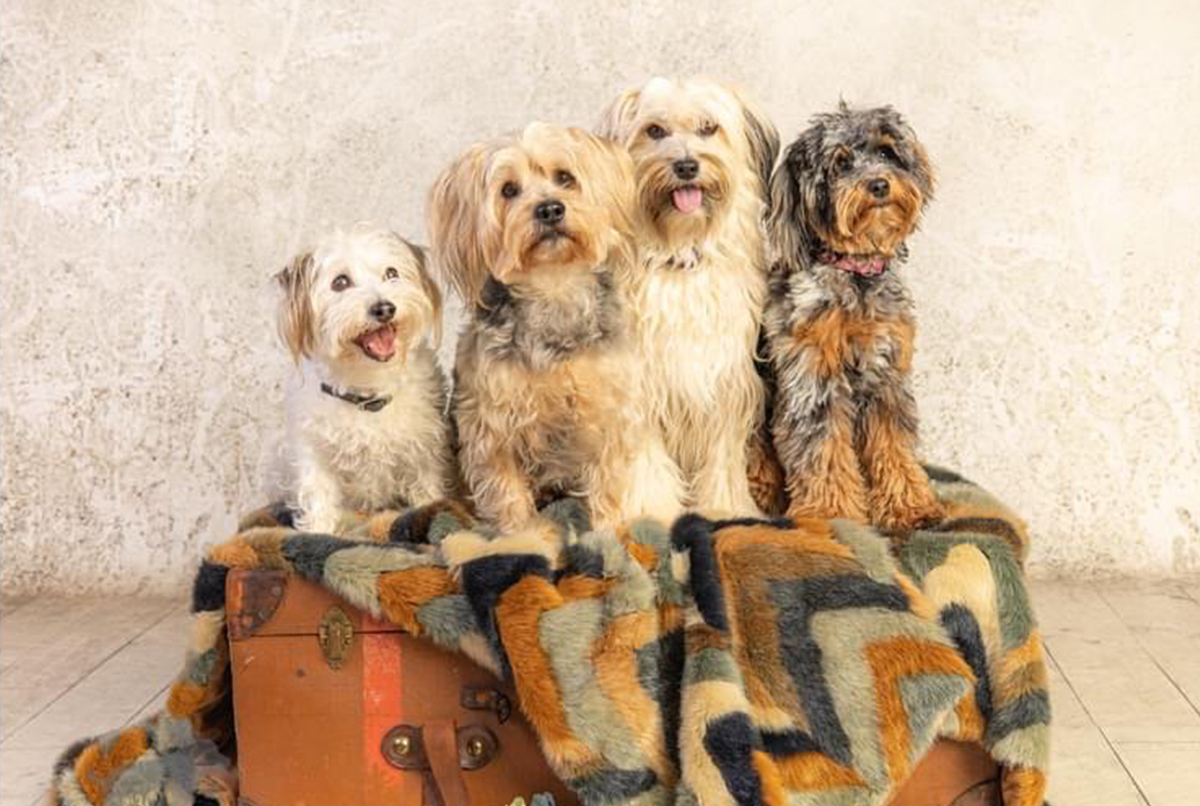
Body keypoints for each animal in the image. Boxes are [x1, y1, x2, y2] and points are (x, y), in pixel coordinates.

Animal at [270, 225, 451, 534]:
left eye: (391, 273)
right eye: (340, 282)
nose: (384, 308)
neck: (367, 393)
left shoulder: (424, 449)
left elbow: (426, 490)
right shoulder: (314, 454)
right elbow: (318, 497)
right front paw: (320, 531)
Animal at [597, 75, 782, 515]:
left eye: (708, 128)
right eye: (654, 131)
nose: (686, 166)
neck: (679, 257)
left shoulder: (726, 383)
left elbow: (722, 459)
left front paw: (724, 509)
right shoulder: (641, 388)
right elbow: (648, 462)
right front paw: (652, 512)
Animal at [763, 103, 940, 527]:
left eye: (886, 152)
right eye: (840, 163)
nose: (878, 185)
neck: (855, 276)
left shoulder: (887, 378)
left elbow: (893, 444)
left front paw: (910, 505)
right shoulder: (813, 382)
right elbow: (822, 450)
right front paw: (833, 514)